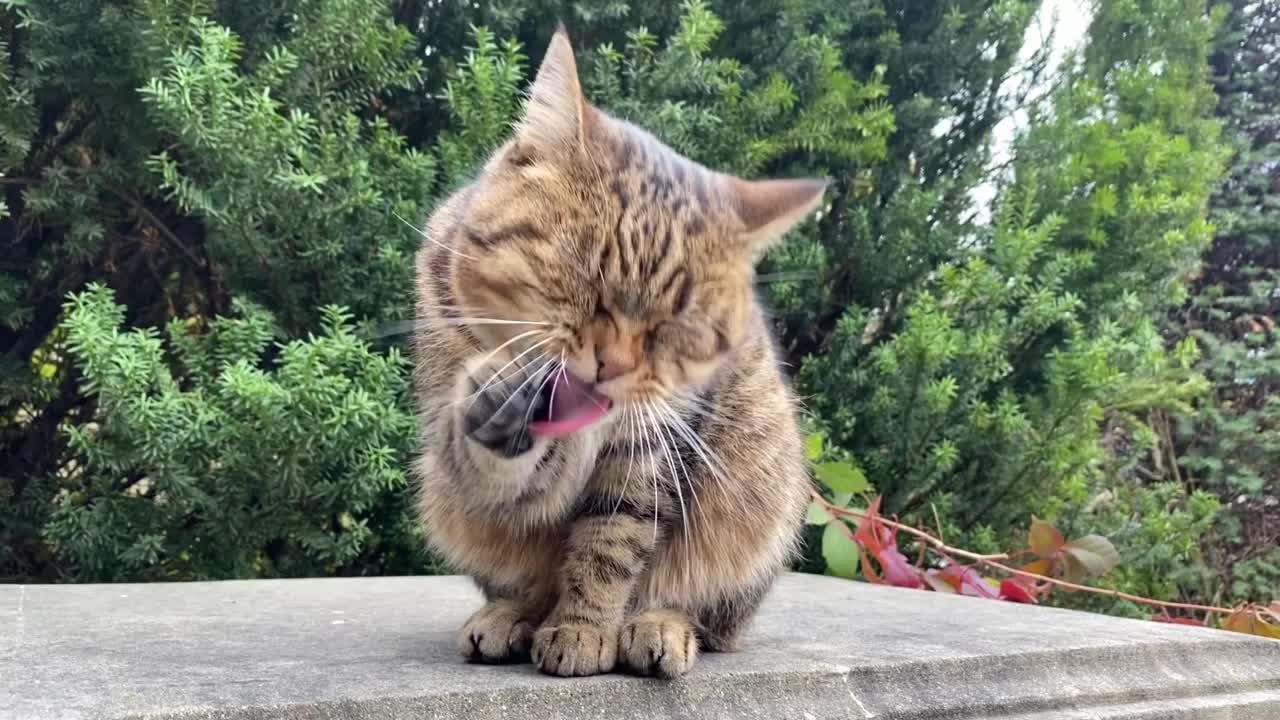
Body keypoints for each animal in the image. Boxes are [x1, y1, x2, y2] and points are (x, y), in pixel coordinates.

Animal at [414, 26, 824, 676]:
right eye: (587, 276)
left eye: (679, 324)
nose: (614, 366)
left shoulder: (649, 448)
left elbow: (611, 542)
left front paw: (584, 628)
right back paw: (511, 615)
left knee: (704, 614)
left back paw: (657, 625)